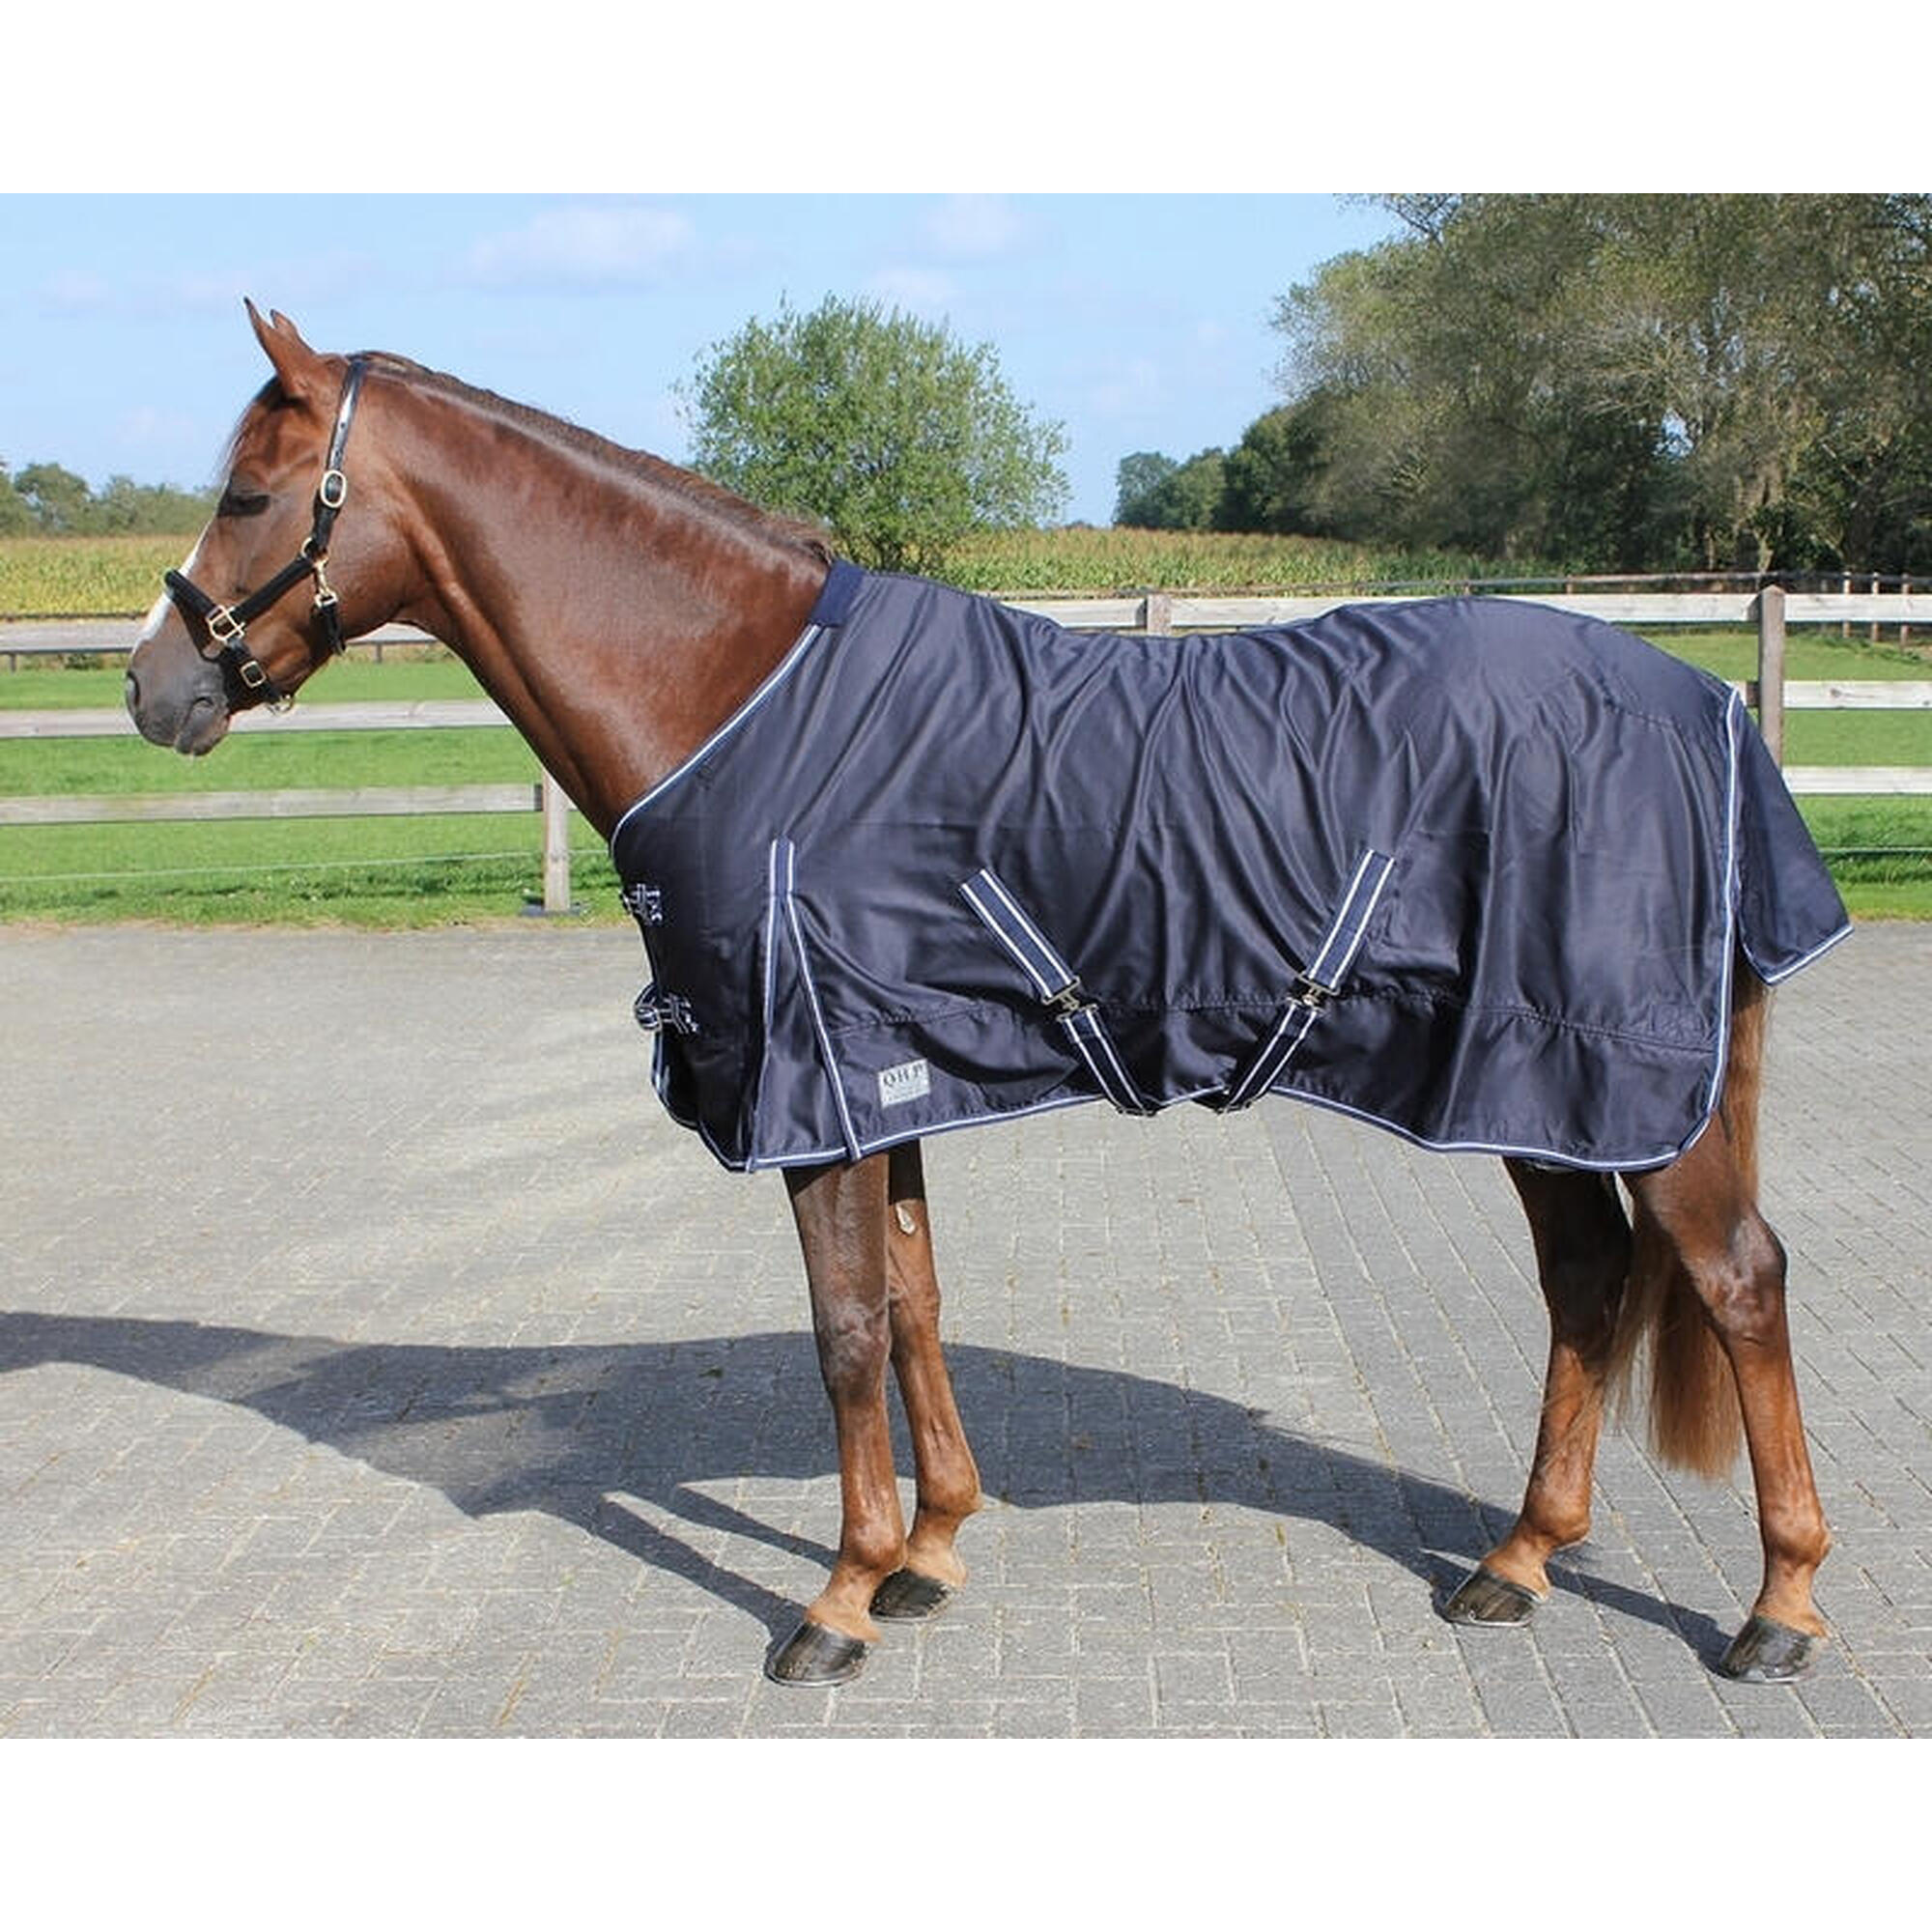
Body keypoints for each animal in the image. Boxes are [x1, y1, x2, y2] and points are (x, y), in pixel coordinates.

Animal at [124, 303, 1844, 1689]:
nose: (153, 689)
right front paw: (931, 1550)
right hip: (1534, 1087)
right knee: (1589, 1283)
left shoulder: (806, 1093)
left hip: (1611, 1084)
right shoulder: (885, 1077)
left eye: (249, 492)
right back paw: (1519, 1562)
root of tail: (1702, 700)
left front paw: (835, 1601)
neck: (742, 697)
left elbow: (839, 1335)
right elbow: (912, 1306)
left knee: (1739, 1282)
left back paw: (1778, 1611)